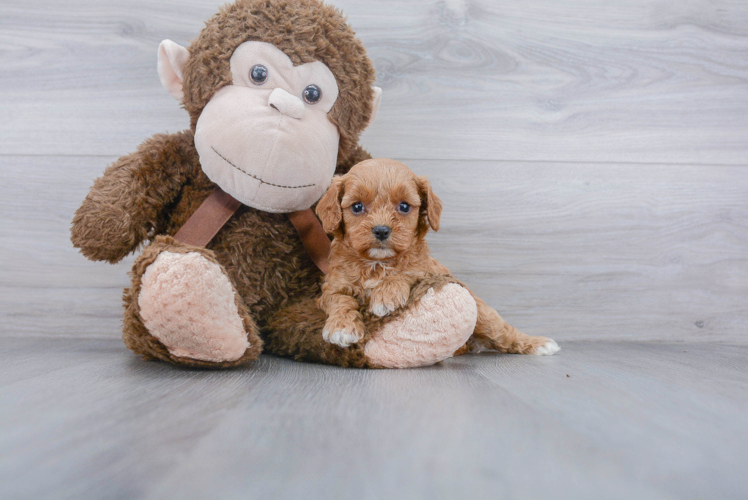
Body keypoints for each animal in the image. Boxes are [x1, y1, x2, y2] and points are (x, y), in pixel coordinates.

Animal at [312, 158, 560, 358]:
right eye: (357, 207)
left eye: (404, 206)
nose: (381, 231)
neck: (377, 263)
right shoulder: (332, 287)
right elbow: (340, 301)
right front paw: (342, 327)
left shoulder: (427, 270)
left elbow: (407, 272)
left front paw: (386, 295)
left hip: (484, 315)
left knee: (504, 333)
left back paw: (537, 344)